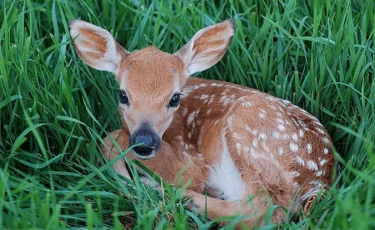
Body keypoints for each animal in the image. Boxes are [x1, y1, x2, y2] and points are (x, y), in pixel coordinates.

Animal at [70, 18, 334, 226]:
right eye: (123, 95)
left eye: (174, 98)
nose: (144, 142)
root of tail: (321, 182)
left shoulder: (190, 159)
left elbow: (111, 137)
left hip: (248, 127)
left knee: (266, 210)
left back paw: (178, 196)